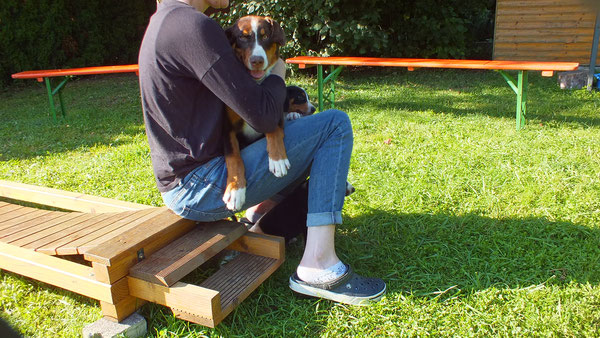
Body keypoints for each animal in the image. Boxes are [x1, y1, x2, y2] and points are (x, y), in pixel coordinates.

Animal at [224, 16, 290, 211]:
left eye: (265, 36)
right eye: (243, 37)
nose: (257, 60)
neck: (257, 84)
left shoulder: (274, 113)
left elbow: (274, 131)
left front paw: (277, 160)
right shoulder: (226, 127)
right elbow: (233, 157)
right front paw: (235, 189)